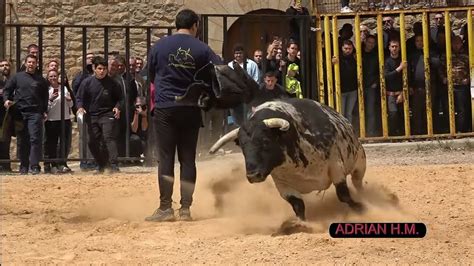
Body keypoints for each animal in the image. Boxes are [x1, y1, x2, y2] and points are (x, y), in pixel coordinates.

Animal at [208, 98, 366, 221]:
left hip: (360, 162)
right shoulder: (282, 185)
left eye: (265, 141)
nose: (253, 175)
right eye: (242, 147)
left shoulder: (336, 165)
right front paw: (301, 224)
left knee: (357, 183)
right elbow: (298, 205)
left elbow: (343, 194)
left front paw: (360, 208)